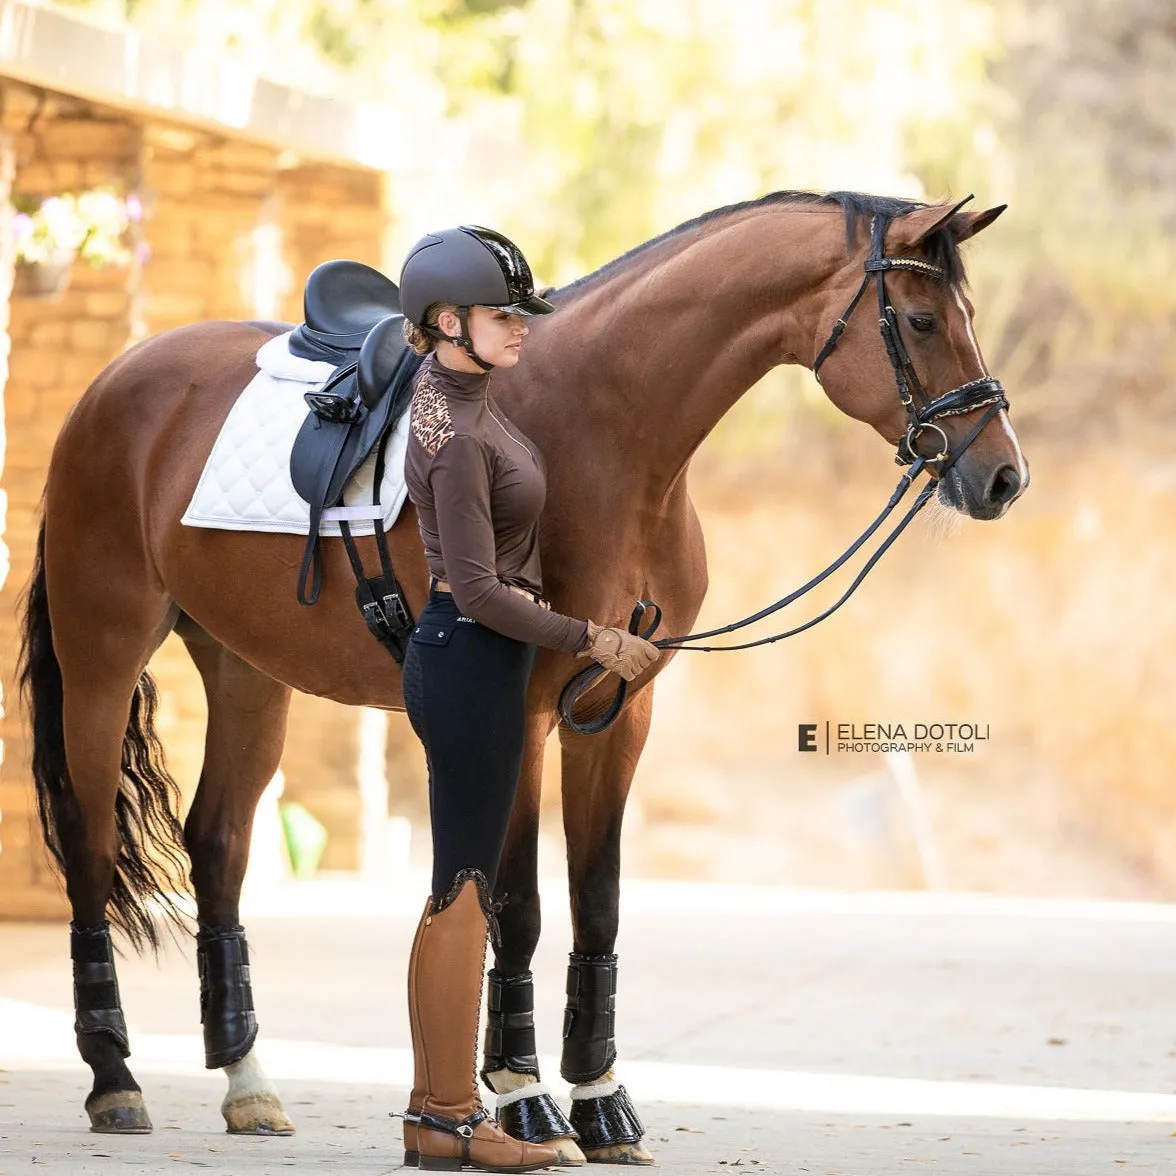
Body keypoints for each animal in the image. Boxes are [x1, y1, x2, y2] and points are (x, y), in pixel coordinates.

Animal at [20, 190, 1030, 1157]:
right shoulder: (527, 714)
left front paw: (604, 1106)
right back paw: (115, 1080)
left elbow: (599, 904)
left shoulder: (619, 714)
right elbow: (521, 908)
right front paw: (527, 1101)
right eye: (921, 320)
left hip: (245, 670)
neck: (604, 426)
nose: (1003, 479)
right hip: (104, 653)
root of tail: (113, 383)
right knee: (89, 844)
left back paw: (249, 1085)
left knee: (219, 843)